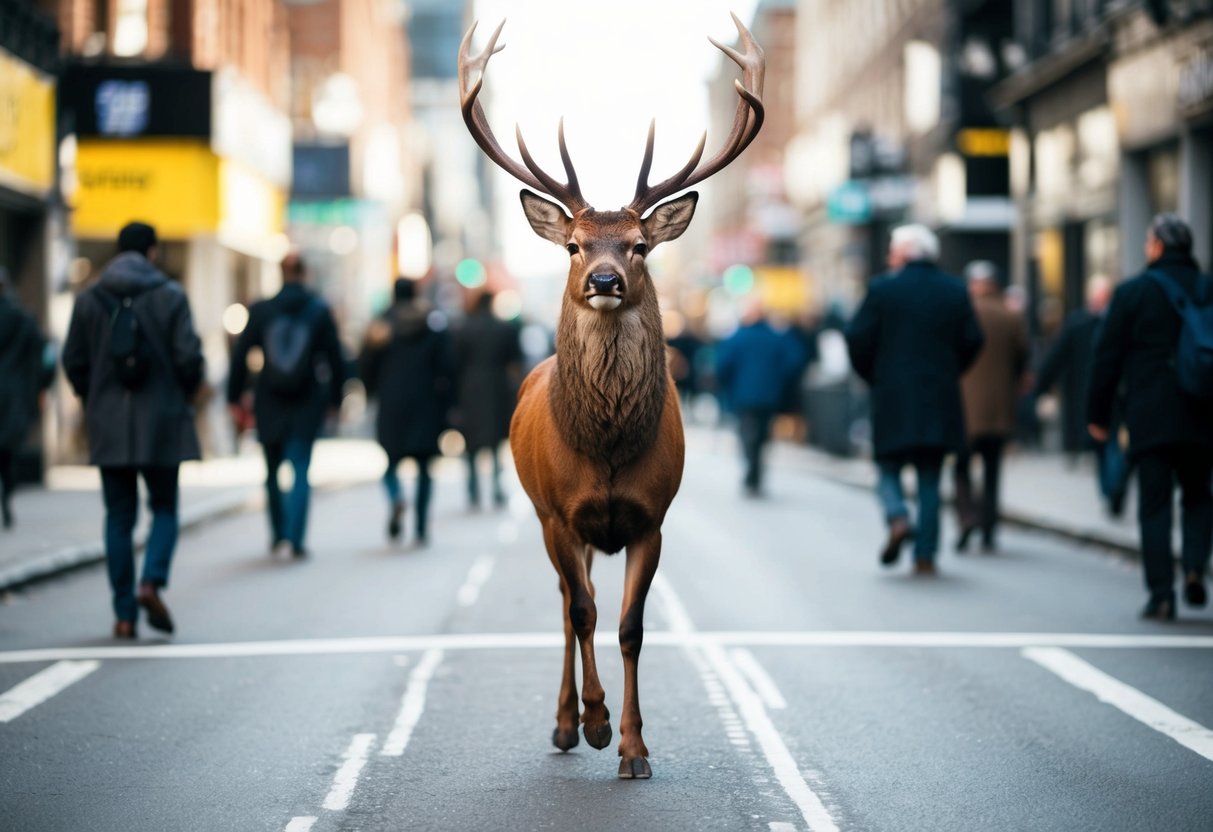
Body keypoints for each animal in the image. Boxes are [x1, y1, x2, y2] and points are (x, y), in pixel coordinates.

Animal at [458, 14, 764, 780]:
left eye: (639, 245)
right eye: (572, 244)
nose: (603, 279)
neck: (605, 447)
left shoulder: (650, 517)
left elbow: (629, 627)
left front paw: (633, 747)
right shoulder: (562, 513)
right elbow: (584, 615)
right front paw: (595, 724)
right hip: (545, 517)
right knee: (569, 605)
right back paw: (566, 724)